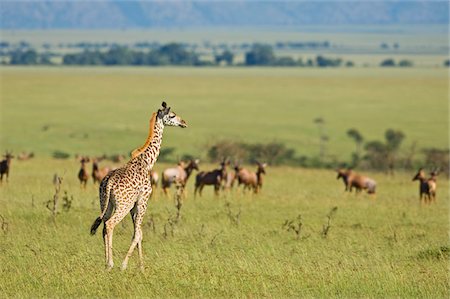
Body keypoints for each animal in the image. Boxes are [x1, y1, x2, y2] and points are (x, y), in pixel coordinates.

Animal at [90, 101, 187, 272]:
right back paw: (111, 263)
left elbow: (139, 233)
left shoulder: (135, 205)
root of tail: (108, 182)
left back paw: (106, 263)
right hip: (123, 205)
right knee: (110, 224)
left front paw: (141, 267)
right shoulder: (143, 201)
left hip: (106, 203)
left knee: (103, 225)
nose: (184, 122)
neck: (147, 161)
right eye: (172, 115)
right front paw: (125, 265)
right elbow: (137, 234)